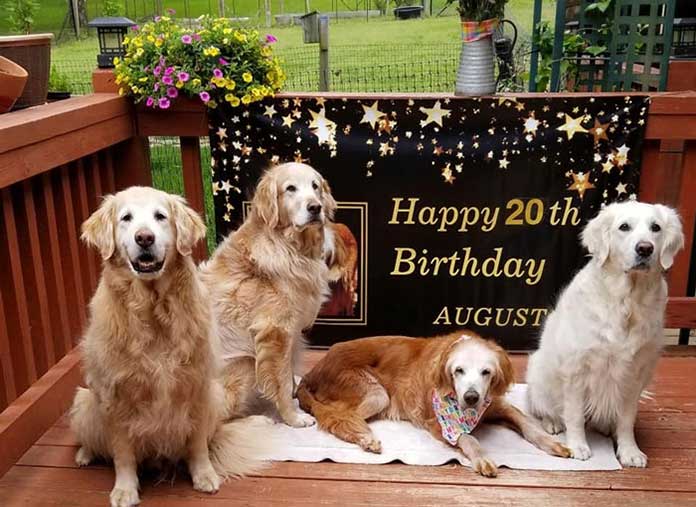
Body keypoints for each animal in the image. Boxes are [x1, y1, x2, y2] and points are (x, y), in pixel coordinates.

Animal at [70, 188, 272, 507]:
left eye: (160, 216)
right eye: (126, 218)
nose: (144, 238)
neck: (153, 309)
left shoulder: (198, 387)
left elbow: (198, 444)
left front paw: (204, 475)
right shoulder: (115, 396)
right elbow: (122, 453)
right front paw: (125, 489)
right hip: (83, 402)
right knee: (95, 441)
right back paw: (84, 454)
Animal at [296, 332, 568, 478]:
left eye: (486, 372)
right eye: (458, 371)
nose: (471, 398)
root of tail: (314, 370)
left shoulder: (496, 405)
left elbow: (528, 424)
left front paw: (553, 443)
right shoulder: (439, 423)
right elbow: (469, 438)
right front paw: (481, 458)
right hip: (376, 393)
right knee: (338, 419)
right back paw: (366, 438)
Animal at [528, 201, 684, 468]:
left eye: (656, 228)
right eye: (624, 227)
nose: (645, 248)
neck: (627, 302)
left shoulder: (635, 373)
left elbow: (626, 420)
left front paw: (630, 451)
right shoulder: (577, 369)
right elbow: (574, 415)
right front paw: (577, 446)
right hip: (538, 372)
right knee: (548, 408)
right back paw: (554, 422)